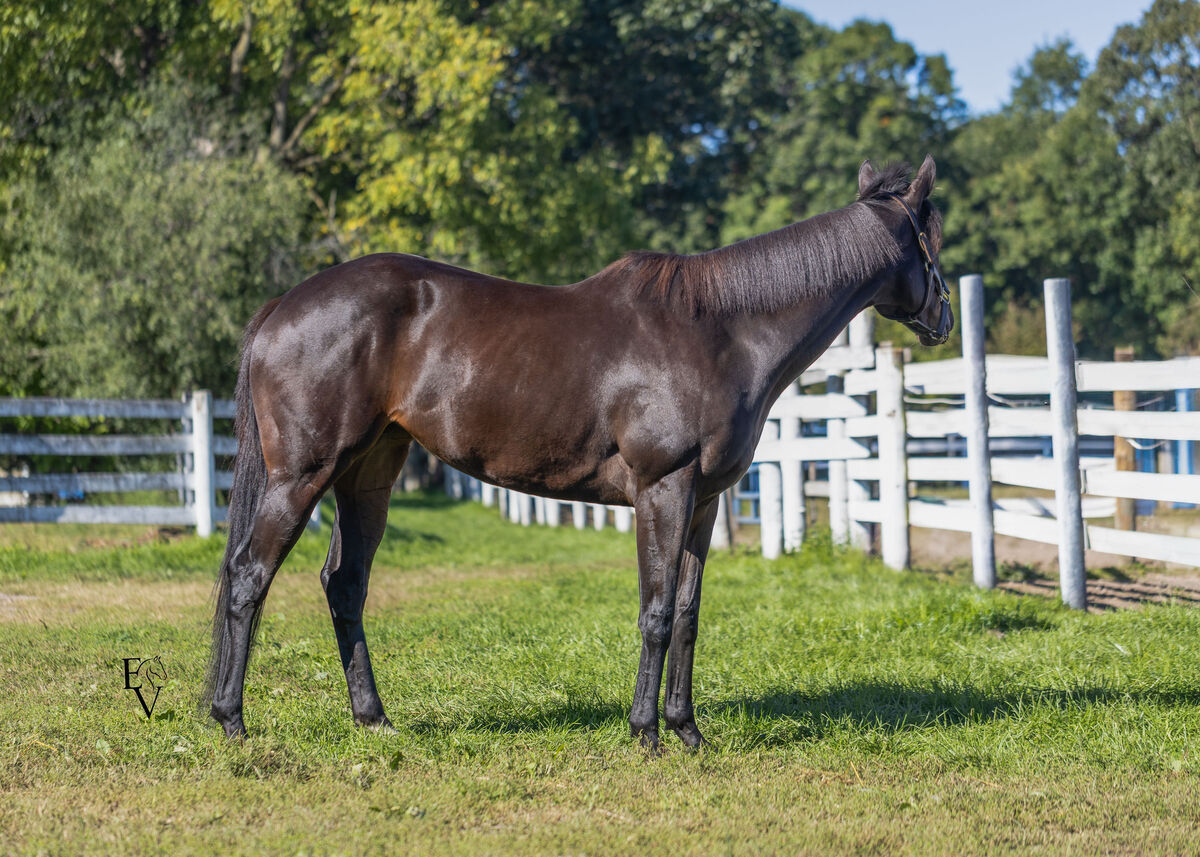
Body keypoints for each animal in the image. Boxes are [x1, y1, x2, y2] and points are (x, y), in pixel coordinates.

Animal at [204, 155, 952, 750]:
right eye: (933, 239)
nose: (943, 318)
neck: (721, 331)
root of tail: (281, 307)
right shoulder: (664, 488)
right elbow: (655, 611)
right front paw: (646, 732)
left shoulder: (705, 501)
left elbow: (688, 613)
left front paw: (687, 729)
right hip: (301, 476)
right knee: (247, 576)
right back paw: (232, 719)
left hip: (367, 479)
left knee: (344, 585)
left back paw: (373, 718)